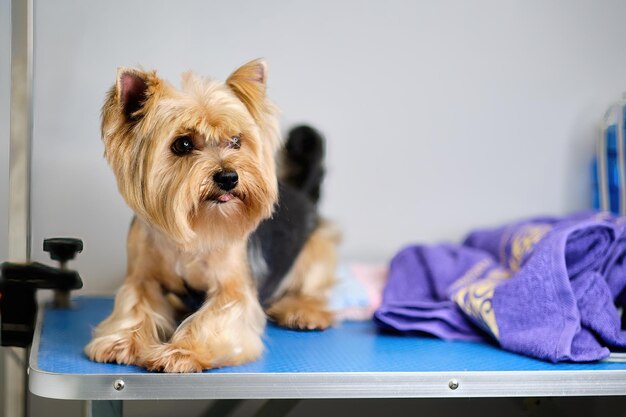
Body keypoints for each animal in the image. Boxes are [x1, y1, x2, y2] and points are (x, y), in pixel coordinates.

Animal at [84, 57, 336, 370]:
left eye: (236, 141)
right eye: (182, 144)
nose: (228, 177)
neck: (194, 225)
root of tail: (301, 191)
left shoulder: (233, 287)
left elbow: (214, 317)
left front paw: (181, 352)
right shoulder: (141, 275)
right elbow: (135, 303)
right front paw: (121, 342)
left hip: (316, 250)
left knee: (313, 286)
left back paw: (303, 312)